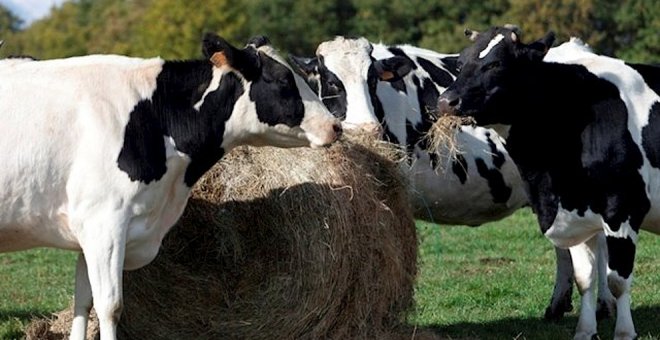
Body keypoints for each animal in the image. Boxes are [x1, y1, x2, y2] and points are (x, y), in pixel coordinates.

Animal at [0, 32, 340, 340]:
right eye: (283, 80)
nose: (335, 126)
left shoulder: (89, 230)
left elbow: (85, 303)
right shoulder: (104, 222)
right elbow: (110, 306)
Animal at [438, 25, 660, 340]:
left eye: (496, 64)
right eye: (459, 63)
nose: (446, 102)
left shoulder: (623, 209)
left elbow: (618, 281)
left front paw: (624, 334)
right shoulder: (577, 214)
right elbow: (585, 278)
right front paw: (584, 331)